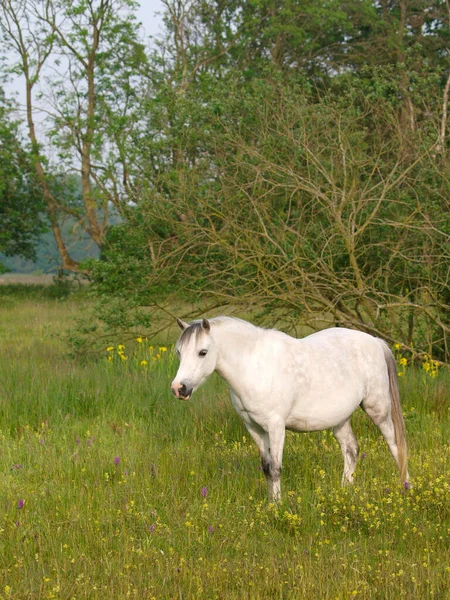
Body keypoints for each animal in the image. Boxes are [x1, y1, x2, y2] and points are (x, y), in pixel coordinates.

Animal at [171, 316, 410, 504]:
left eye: (202, 352)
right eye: (179, 352)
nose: (178, 388)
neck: (254, 367)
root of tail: (375, 342)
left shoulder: (276, 426)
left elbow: (276, 469)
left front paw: (277, 506)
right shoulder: (254, 428)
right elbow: (266, 468)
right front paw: (269, 503)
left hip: (378, 409)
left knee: (396, 446)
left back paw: (405, 488)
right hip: (340, 419)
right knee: (351, 450)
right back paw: (344, 491)